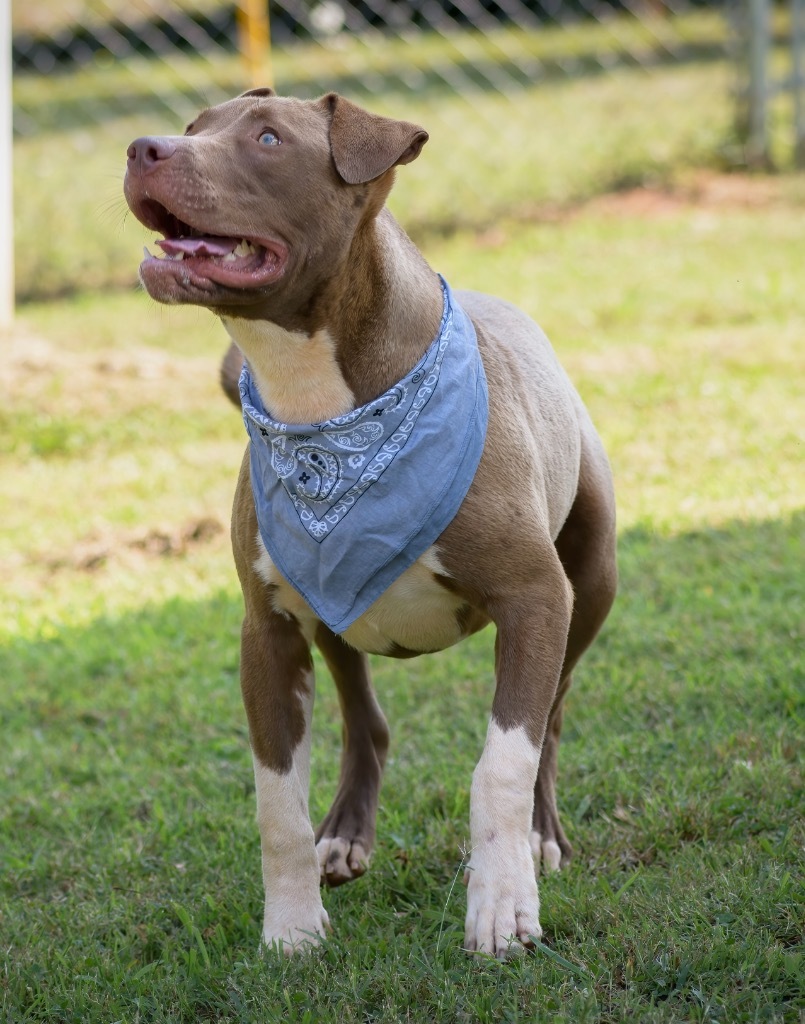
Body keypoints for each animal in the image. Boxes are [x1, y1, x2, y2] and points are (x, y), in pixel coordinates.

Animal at [123, 90, 614, 958]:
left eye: (268, 139)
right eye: (192, 129)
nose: (143, 148)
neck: (320, 403)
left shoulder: (534, 597)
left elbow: (502, 763)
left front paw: (501, 908)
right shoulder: (268, 631)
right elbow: (275, 799)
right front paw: (291, 928)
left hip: (591, 579)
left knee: (551, 718)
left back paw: (540, 837)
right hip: (333, 604)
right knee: (365, 719)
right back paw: (344, 838)